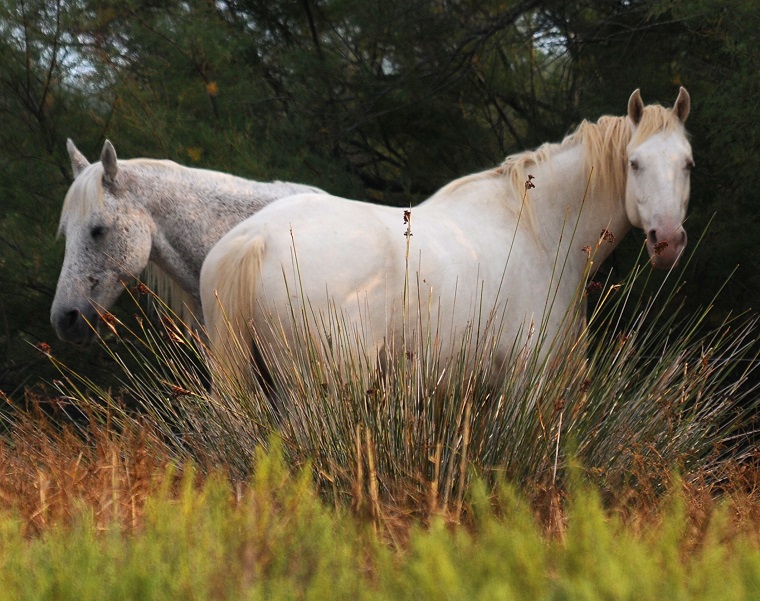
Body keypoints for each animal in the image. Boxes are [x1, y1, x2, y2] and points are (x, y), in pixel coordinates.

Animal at [199, 89, 692, 384]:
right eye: (634, 163)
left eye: (687, 163)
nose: (666, 241)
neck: (541, 233)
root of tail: (256, 238)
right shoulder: (524, 381)